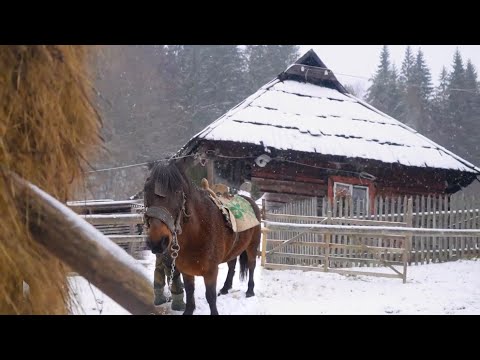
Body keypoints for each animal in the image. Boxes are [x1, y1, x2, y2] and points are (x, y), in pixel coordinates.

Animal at [143, 159, 262, 314]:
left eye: (177, 191)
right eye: (146, 190)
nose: (158, 241)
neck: (197, 233)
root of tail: (250, 200)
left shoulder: (211, 272)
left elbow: (210, 297)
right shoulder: (186, 271)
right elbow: (189, 292)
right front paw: (189, 310)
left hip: (252, 246)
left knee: (252, 265)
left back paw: (250, 291)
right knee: (232, 265)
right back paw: (225, 288)